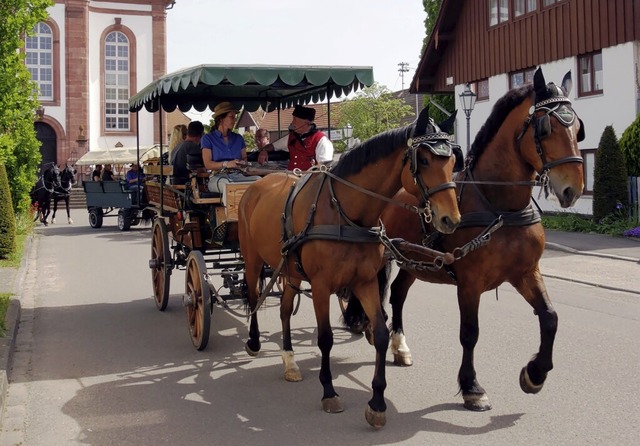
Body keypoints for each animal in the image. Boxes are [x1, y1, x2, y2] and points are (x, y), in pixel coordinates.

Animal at [238, 108, 462, 428]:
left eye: (454, 159)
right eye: (425, 160)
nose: (450, 219)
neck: (345, 213)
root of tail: (256, 185)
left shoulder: (365, 282)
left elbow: (380, 333)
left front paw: (377, 402)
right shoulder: (321, 287)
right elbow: (325, 338)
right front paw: (329, 391)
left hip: (290, 271)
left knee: (284, 309)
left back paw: (290, 360)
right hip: (254, 260)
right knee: (254, 296)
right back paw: (255, 342)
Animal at [344, 67, 584, 412]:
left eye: (578, 128)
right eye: (546, 127)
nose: (572, 188)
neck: (500, 207)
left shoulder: (526, 272)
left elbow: (550, 317)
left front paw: (535, 374)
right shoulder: (470, 283)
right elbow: (470, 333)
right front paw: (472, 386)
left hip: (416, 261)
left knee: (398, 294)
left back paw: (399, 345)